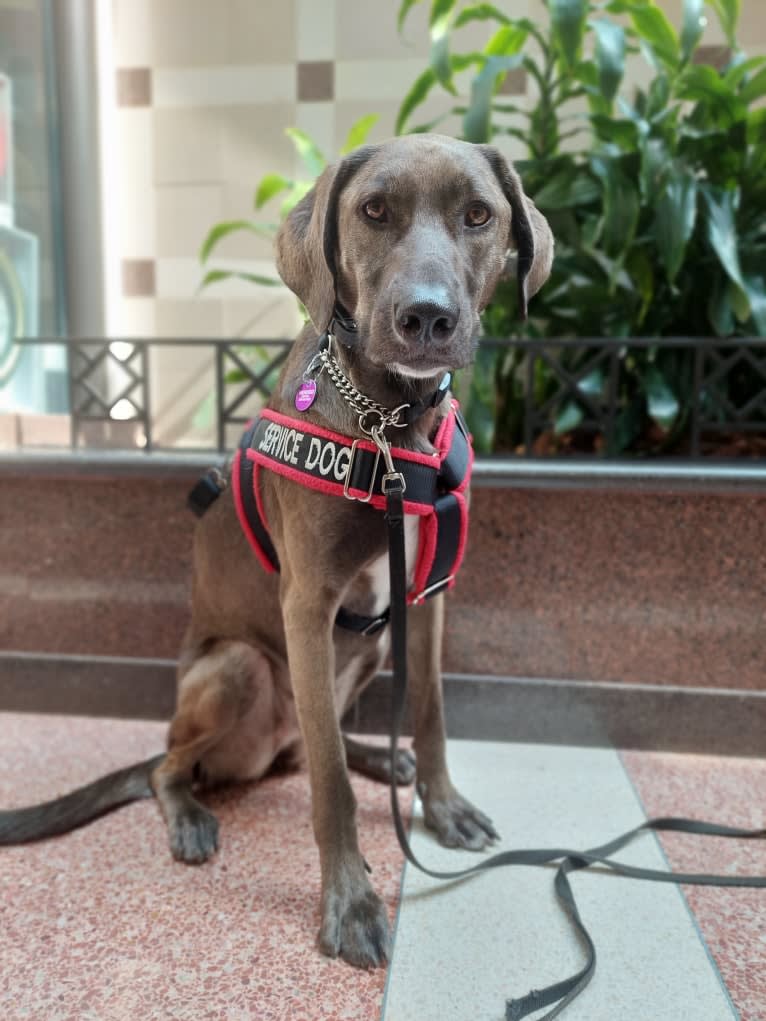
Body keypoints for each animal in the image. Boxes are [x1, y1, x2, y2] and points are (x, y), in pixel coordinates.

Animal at [0, 131, 551, 967]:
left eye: (479, 215)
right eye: (374, 210)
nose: (427, 317)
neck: (390, 428)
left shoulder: (428, 597)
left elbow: (430, 713)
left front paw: (442, 804)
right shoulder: (307, 605)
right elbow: (331, 785)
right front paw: (350, 903)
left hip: (368, 651)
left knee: (308, 744)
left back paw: (382, 755)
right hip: (238, 668)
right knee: (177, 764)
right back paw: (190, 813)